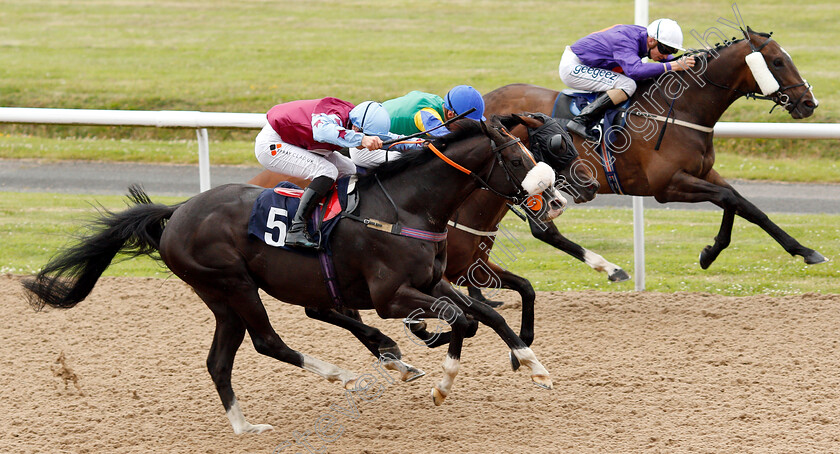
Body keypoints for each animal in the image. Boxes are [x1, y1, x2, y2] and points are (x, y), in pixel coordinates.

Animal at [21, 118, 556, 436]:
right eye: (517, 159)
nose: (550, 199)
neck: (407, 205)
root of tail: (176, 213)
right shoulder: (391, 296)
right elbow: (464, 320)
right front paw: (440, 380)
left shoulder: (432, 282)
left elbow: (482, 315)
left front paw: (534, 366)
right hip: (231, 283)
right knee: (267, 341)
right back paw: (346, 375)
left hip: (225, 296)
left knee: (221, 360)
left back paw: (246, 428)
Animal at [480, 28, 828, 268]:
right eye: (778, 61)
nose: (809, 103)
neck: (680, 110)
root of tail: (483, 99)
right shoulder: (667, 185)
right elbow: (730, 199)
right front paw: (712, 252)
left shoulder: (704, 173)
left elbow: (744, 205)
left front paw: (804, 250)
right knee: (540, 229)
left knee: (541, 229)